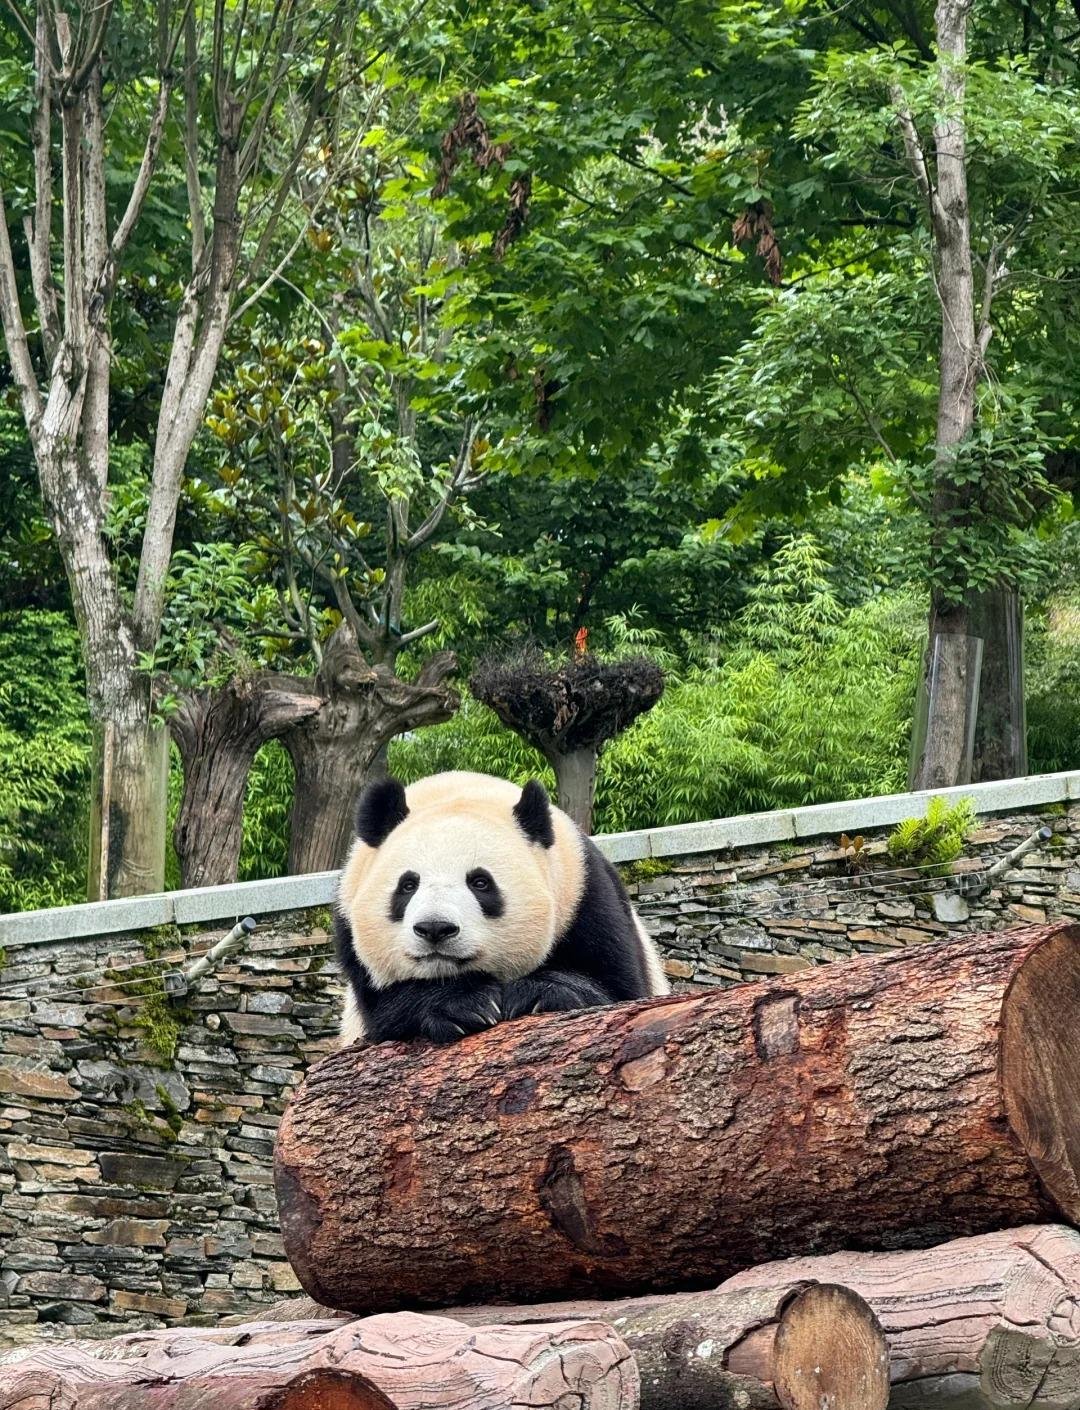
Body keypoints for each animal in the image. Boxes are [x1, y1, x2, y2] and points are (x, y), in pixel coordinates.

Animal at [334, 769, 669, 1045]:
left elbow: (618, 991)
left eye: (480, 882)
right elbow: (385, 1010)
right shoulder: (349, 926)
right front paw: (465, 1006)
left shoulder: (585, 897)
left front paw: (538, 994)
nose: (435, 928)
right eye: (407, 885)